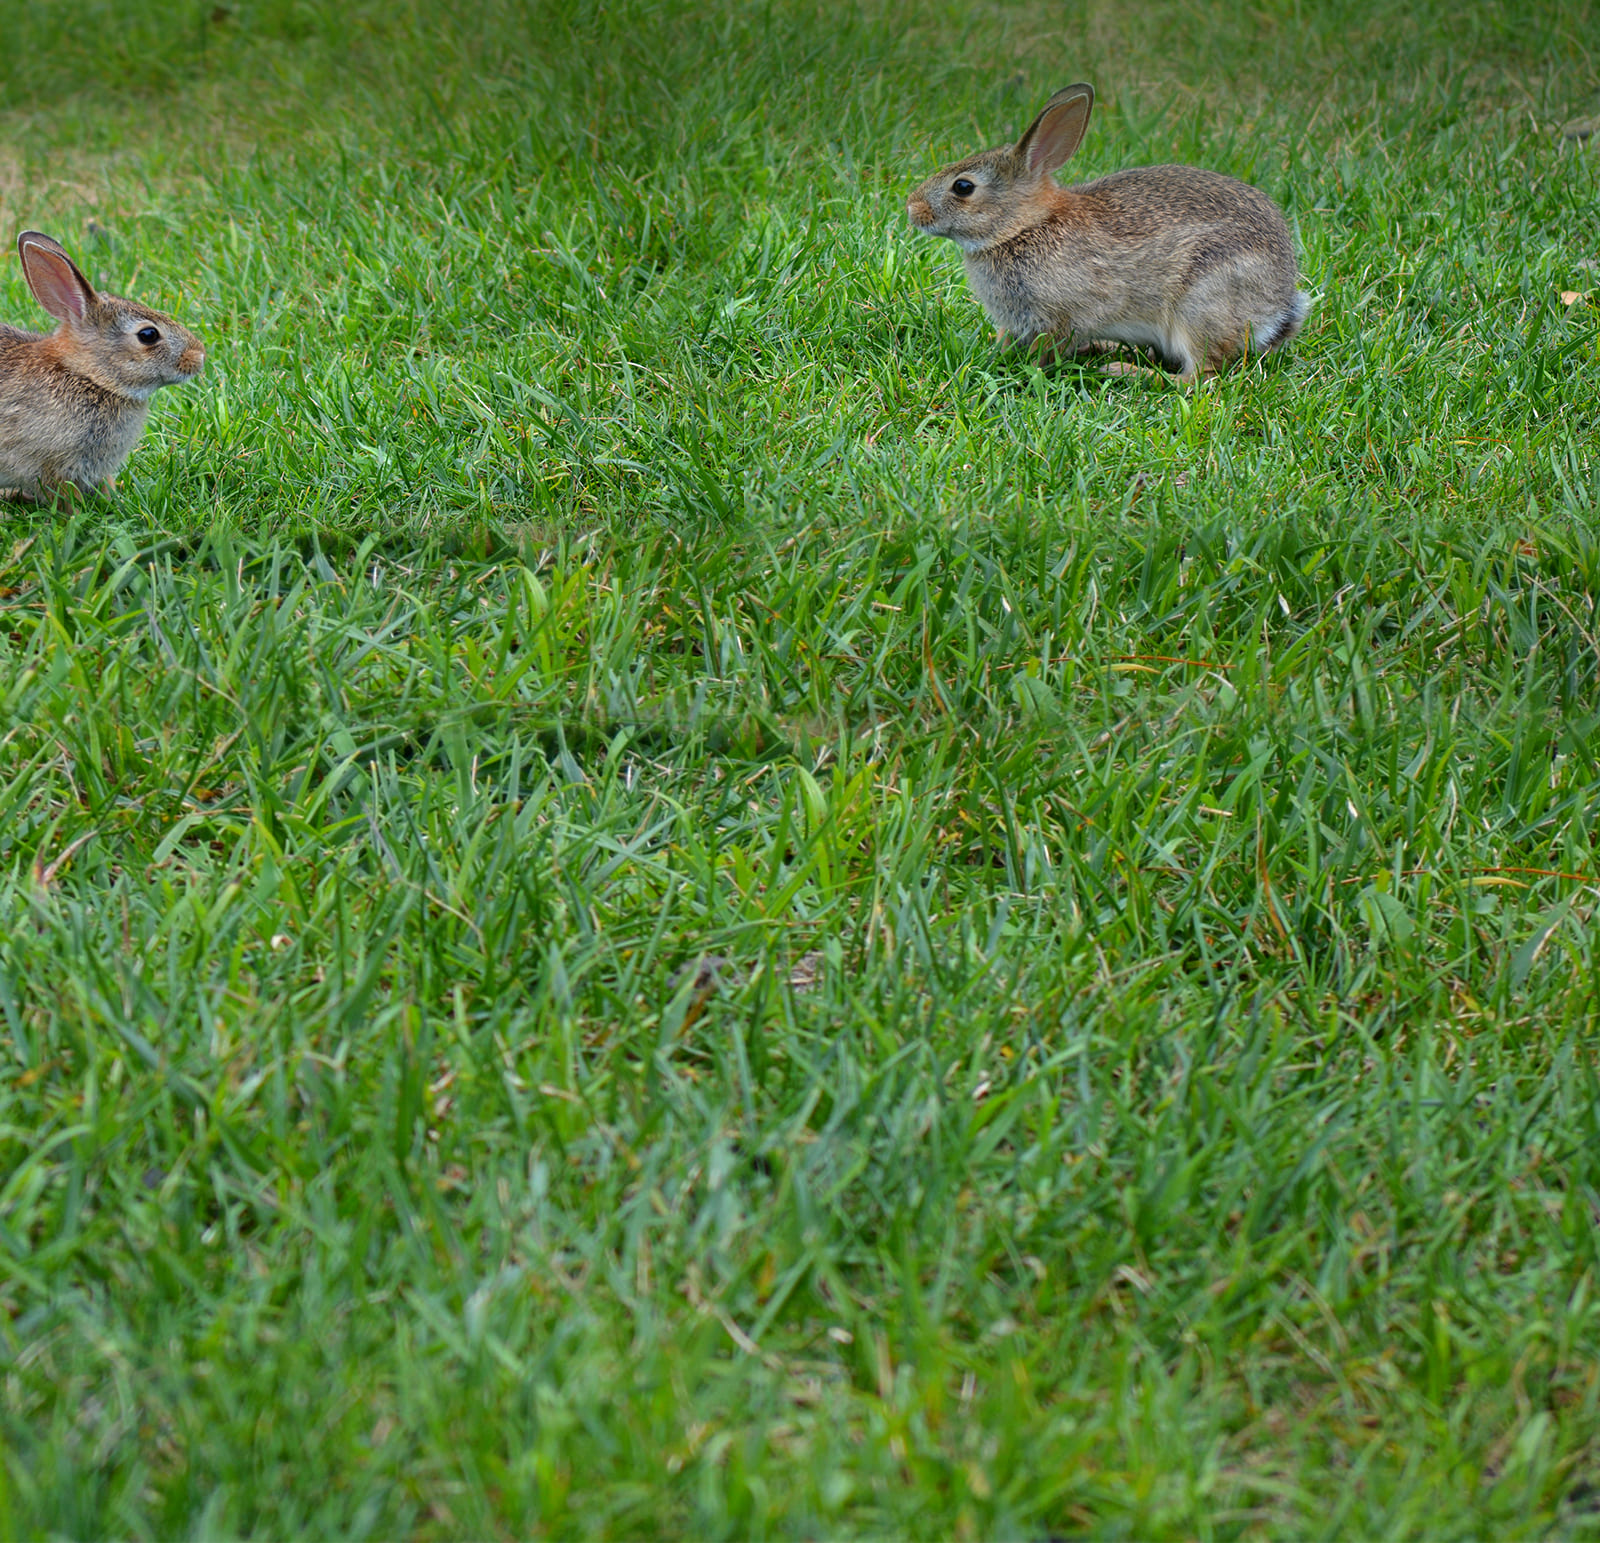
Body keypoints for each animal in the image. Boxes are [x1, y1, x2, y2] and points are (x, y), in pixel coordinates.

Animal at [0, 230, 204, 503]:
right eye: (148, 335)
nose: (199, 357)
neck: (88, 377)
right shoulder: (53, 467)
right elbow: (66, 500)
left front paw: (114, 499)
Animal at [906, 84, 1309, 381]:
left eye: (963, 187)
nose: (912, 209)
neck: (1023, 227)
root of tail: (1278, 306)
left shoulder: (1060, 316)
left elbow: (1045, 350)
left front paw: (1024, 369)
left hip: (1202, 306)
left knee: (1199, 376)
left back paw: (1125, 370)